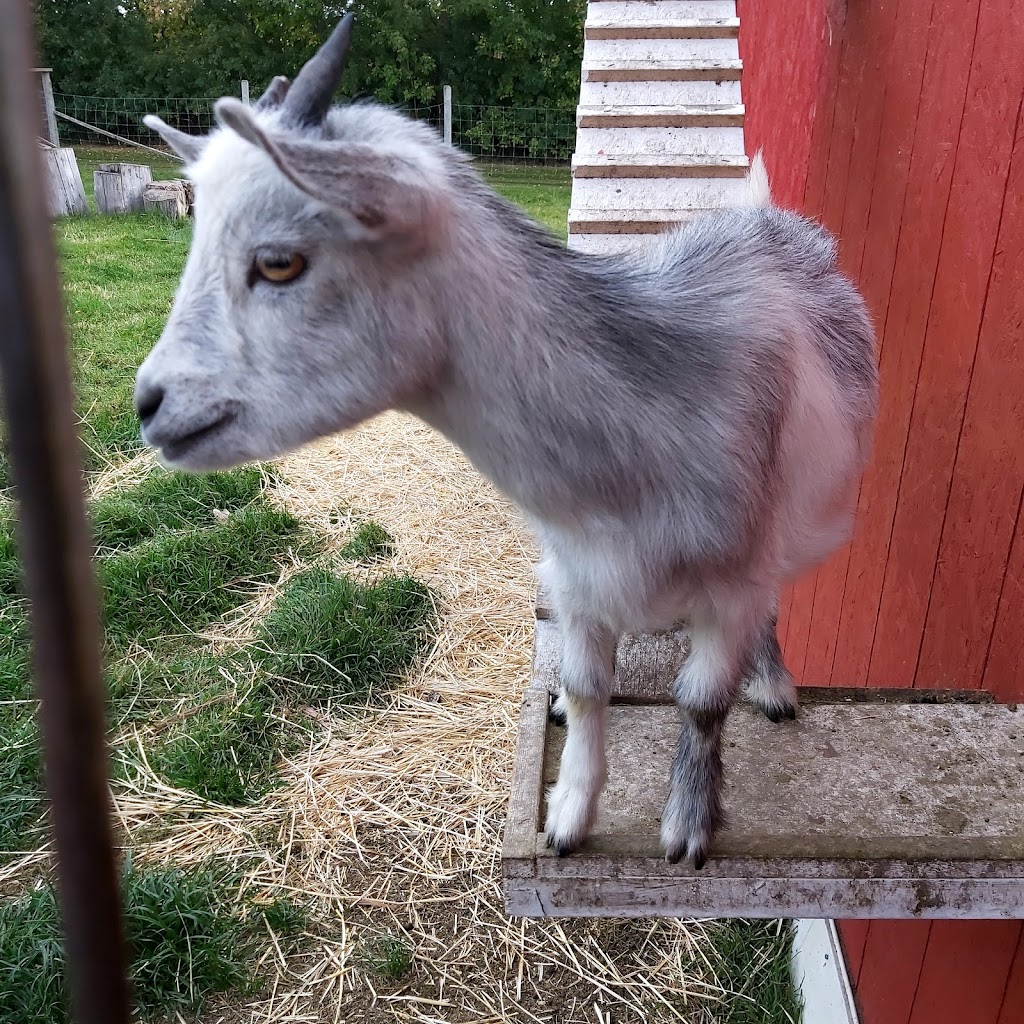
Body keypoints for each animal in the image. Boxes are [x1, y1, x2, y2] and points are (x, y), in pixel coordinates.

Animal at [136, 14, 880, 864]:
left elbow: (701, 703)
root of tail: (763, 216)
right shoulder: (576, 576)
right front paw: (567, 815)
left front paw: (689, 824)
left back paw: (773, 682)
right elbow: (588, 691)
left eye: (280, 261)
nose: (150, 404)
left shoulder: (731, 585)